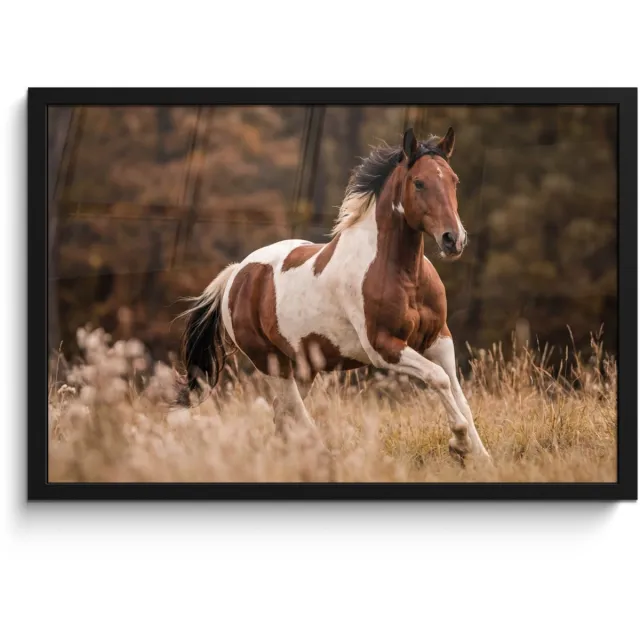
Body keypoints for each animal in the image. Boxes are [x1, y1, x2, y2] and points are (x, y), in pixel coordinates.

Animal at [177, 127, 491, 462]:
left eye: (454, 180)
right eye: (419, 182)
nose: (453, 239)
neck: (404, 274)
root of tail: (237, 274)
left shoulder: (438, 339)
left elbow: (458, 393)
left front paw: (481, 456)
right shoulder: (383, 347)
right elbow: (438, 378)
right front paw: (459, 443)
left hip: (304, 366)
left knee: (282, 414)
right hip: (271, 362)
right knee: (293, 412)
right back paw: (324, 454)